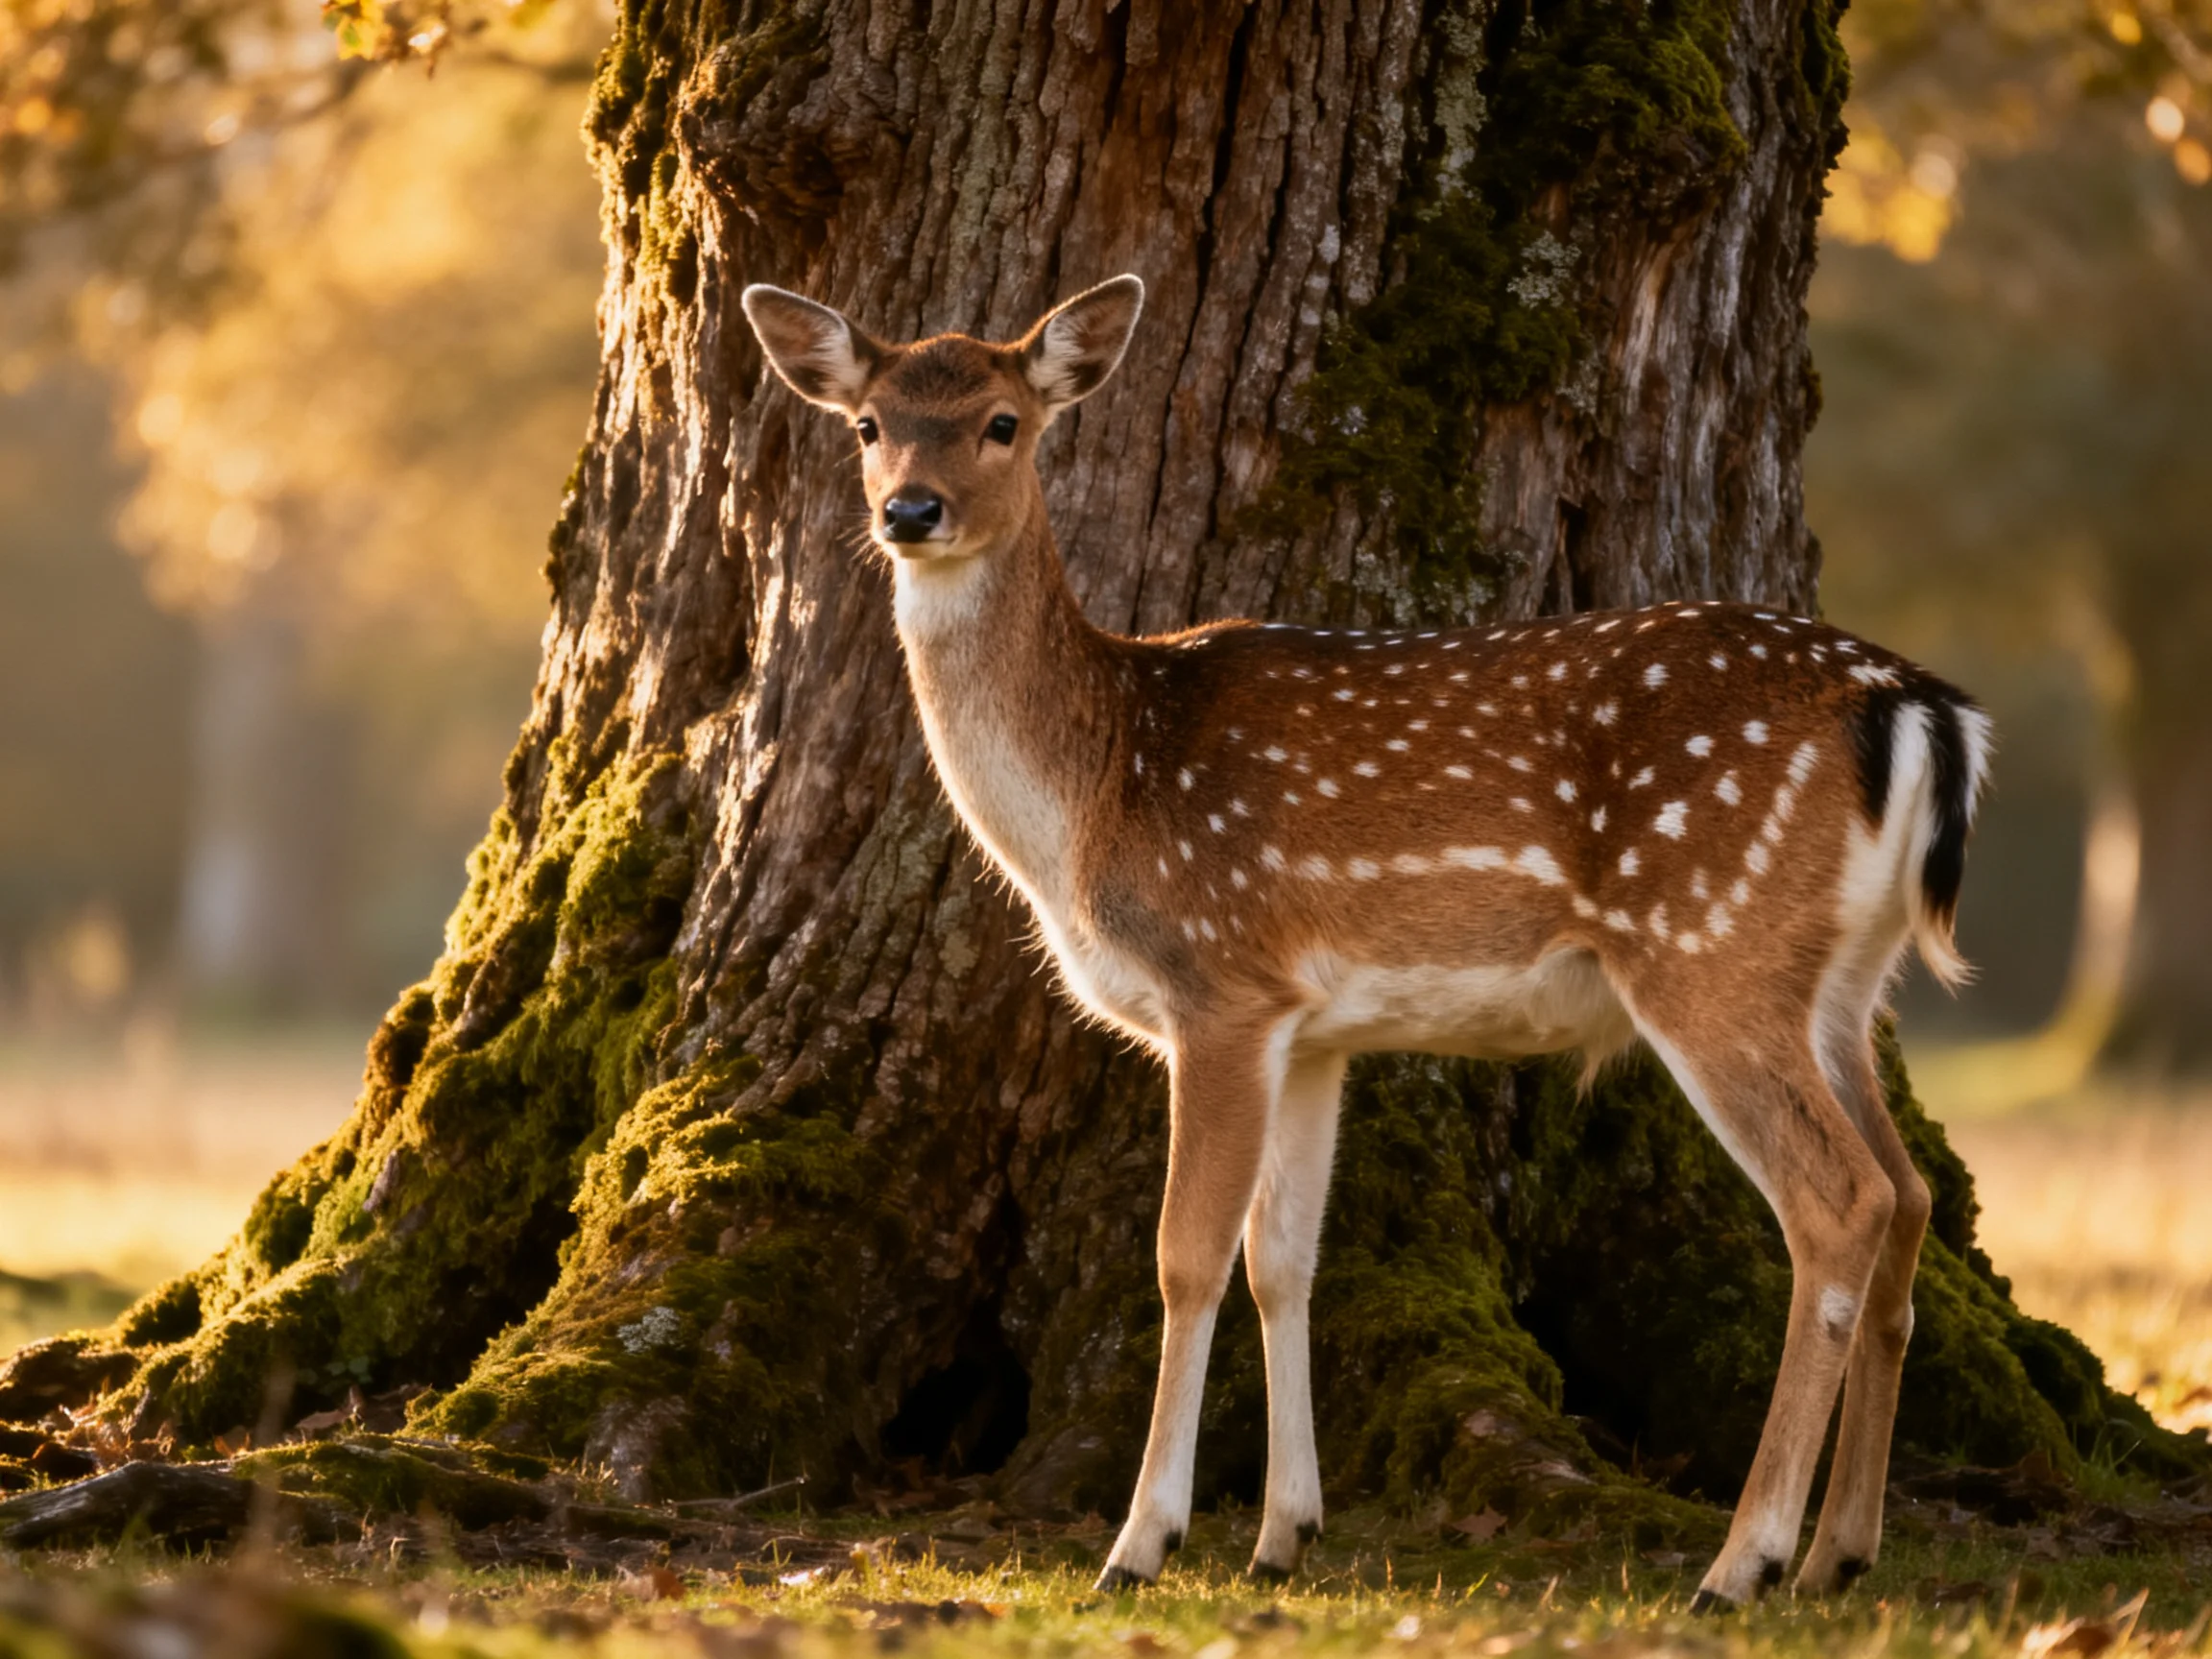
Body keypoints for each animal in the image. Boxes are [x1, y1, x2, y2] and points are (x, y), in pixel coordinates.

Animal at [740, 274, 1993, 1611]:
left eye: (1001, 422)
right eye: (869, 423)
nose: (909, 511)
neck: (1098, 792)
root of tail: (1918, 711)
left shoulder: (1221, 978)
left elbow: (1186, 1257)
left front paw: (1140, 1545)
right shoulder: (1316, 1029)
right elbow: (1283, 1259)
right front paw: (1284, 1532)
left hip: (1710, 944)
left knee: (1842, 1201)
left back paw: (1741, 1560)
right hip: (1839, 982)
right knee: (1911, 1193)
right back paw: (1840, 1550)